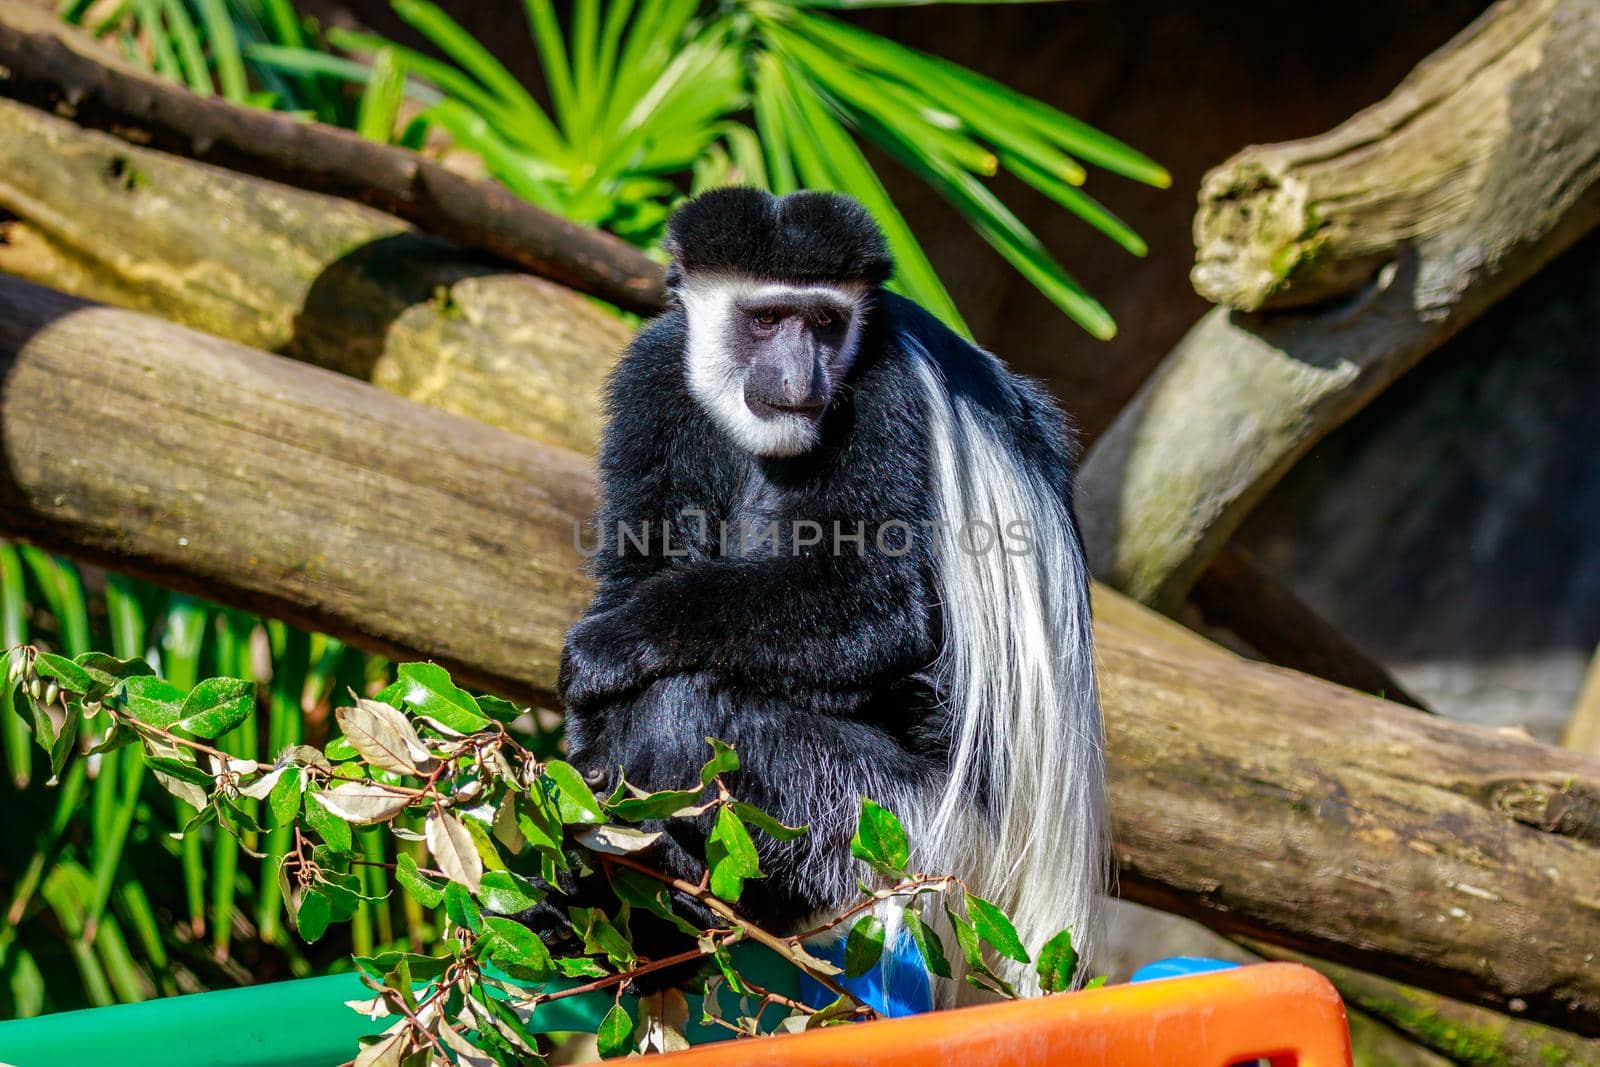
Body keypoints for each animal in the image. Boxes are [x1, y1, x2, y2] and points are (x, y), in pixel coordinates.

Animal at [560, 187, 1100, 998]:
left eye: (824, 323)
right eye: (765, 320)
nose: (798, 379)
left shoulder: (881, 393)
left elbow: (874, 600)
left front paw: (606, 649)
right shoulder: (654, 373)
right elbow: (640, 556)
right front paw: (585, 740)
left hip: (898, 829)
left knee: (693, 707)